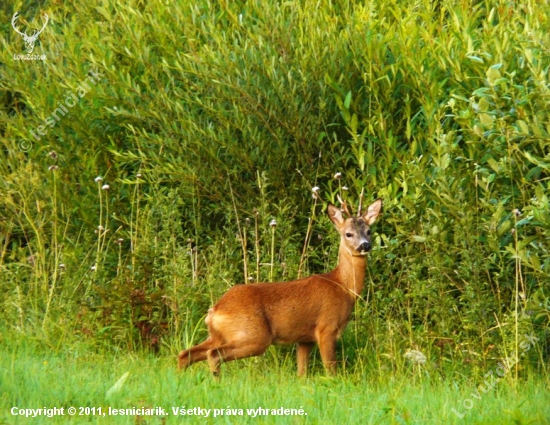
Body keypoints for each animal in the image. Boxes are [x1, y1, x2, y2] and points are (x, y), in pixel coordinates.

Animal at [178, 196, 384, 374]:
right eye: (348, 234)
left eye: (369, 231)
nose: (365, 245)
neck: (343, 286)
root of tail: (216, 310)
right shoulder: (326, 328)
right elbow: (331, 369)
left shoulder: (305, 339)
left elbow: (302, 374)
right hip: (254, 336)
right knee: (212, 355)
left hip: (218, 335)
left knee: (185, 354)